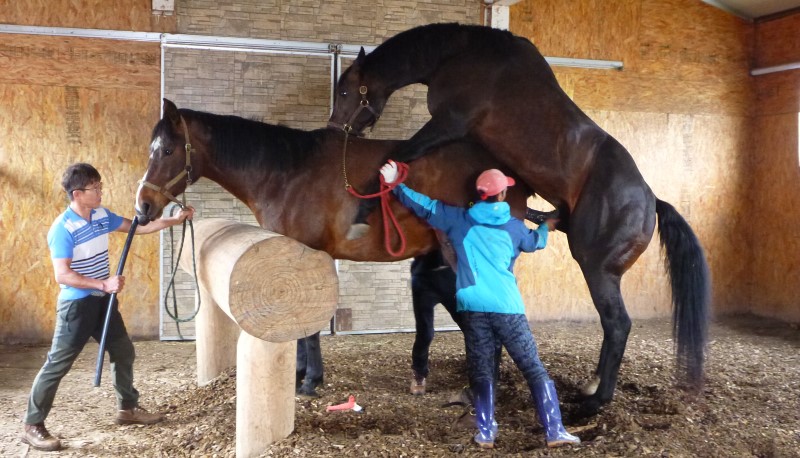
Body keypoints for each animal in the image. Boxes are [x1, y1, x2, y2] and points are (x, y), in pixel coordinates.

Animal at [135, 99, 541, 396]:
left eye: (167, 150)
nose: (143, 207)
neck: (287, 172)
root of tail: (511, 178)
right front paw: (300, 373)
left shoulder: (309, 253)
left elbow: (309, 326)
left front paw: (310, 381)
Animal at [328, 22, 710, 416]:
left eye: (344, 90)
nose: (335, 127)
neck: (460, 54)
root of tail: (651, 201)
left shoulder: (447, 123)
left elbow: (395, 156)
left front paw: (363, 211)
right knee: (611, 325)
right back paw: (590, 386)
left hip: (596, 268)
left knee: (618, 324)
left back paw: (595, 401)